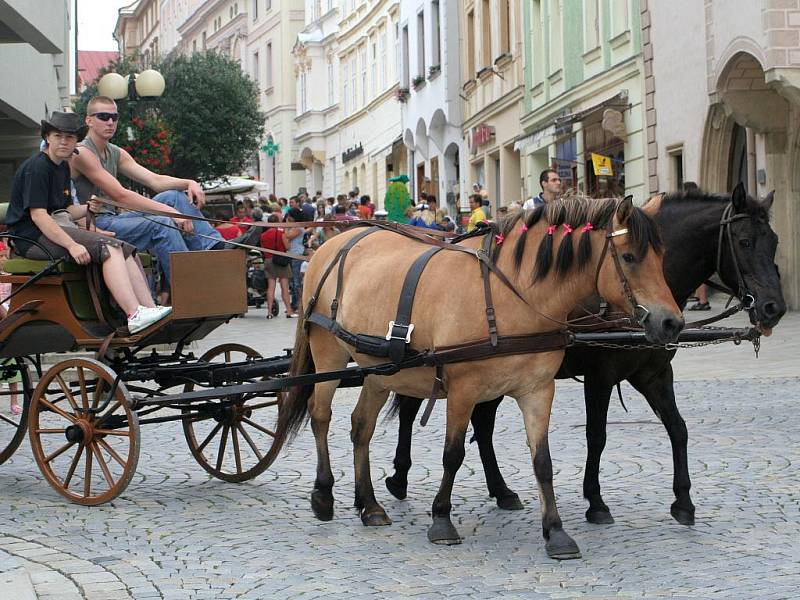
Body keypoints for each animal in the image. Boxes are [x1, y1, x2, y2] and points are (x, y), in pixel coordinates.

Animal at [274, 196, 680, 556]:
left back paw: (369, 504)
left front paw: (555, 531)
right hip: (328, 352)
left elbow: (542, 461)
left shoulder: (537, 390)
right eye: (628, 257)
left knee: (361, 427)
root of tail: (332, 245)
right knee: (321, 416)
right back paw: (324, 493)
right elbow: (452, 455)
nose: (672, 322)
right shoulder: (462, 391)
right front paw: (441, 519)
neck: (507, 294)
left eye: (662, 256)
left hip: (381, 369)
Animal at [384, 182, 784, 524]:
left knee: (481, 426)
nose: (774, 308)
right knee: (412, 410)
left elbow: (678, 428)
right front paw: (595, 500)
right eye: (745, 242)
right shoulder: (600, 376)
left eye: (775, 241)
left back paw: (500, 490)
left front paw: (683, 501)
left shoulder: (654, 375)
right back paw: (400, 477)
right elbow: (597, 435)